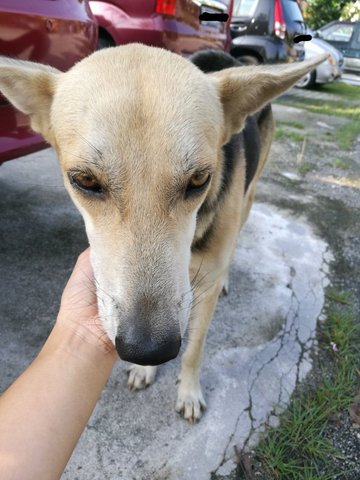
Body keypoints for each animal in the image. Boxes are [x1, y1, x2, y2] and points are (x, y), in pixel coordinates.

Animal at [0, 45, 326, 420]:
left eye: (199, 179)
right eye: (85, 180)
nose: (148, 349)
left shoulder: (203, 290)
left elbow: (194, 349)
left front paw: (189, 391)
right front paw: (146, 371)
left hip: (248, 198)